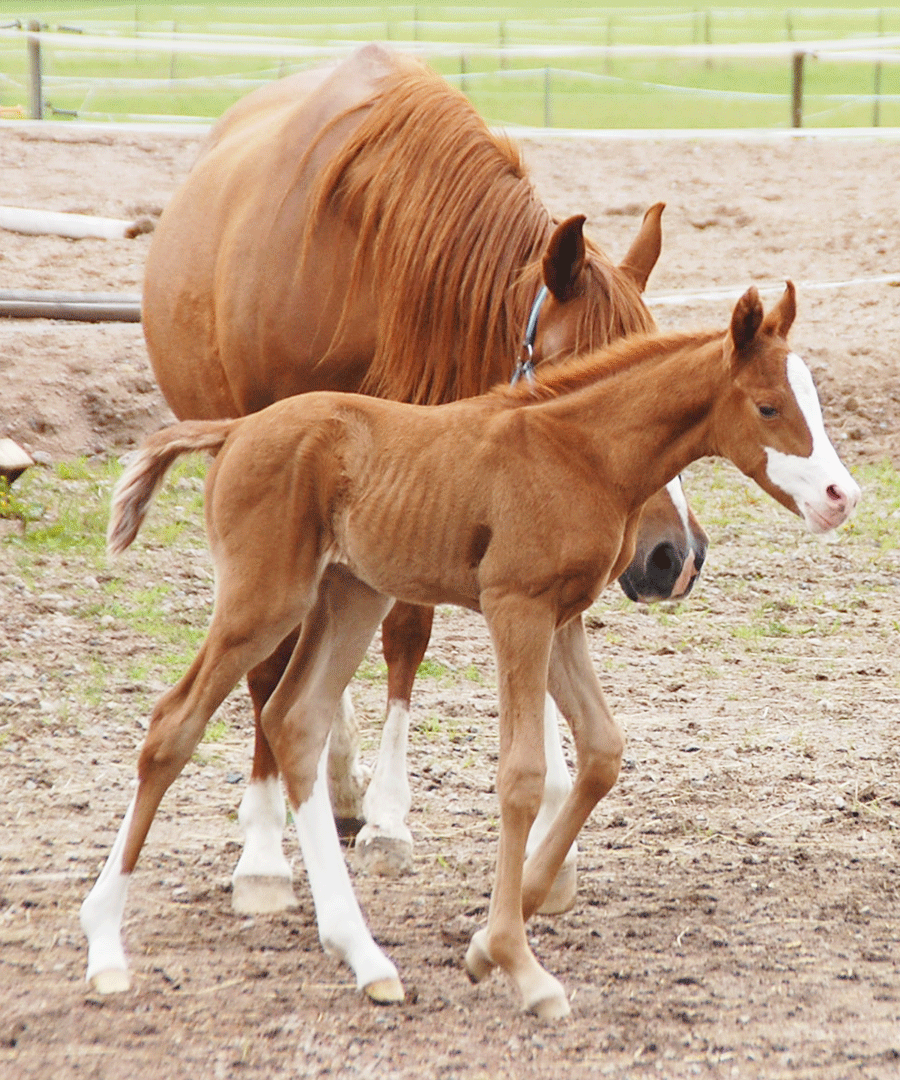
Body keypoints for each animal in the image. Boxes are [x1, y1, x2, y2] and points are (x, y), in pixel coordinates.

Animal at [138, 39, 700, 902]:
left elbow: (407, 631)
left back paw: (340, 789)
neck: (360, 258)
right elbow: (270, 663)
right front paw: (264, 846)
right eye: (589, 383)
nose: (673, 555)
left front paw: (389, 818)